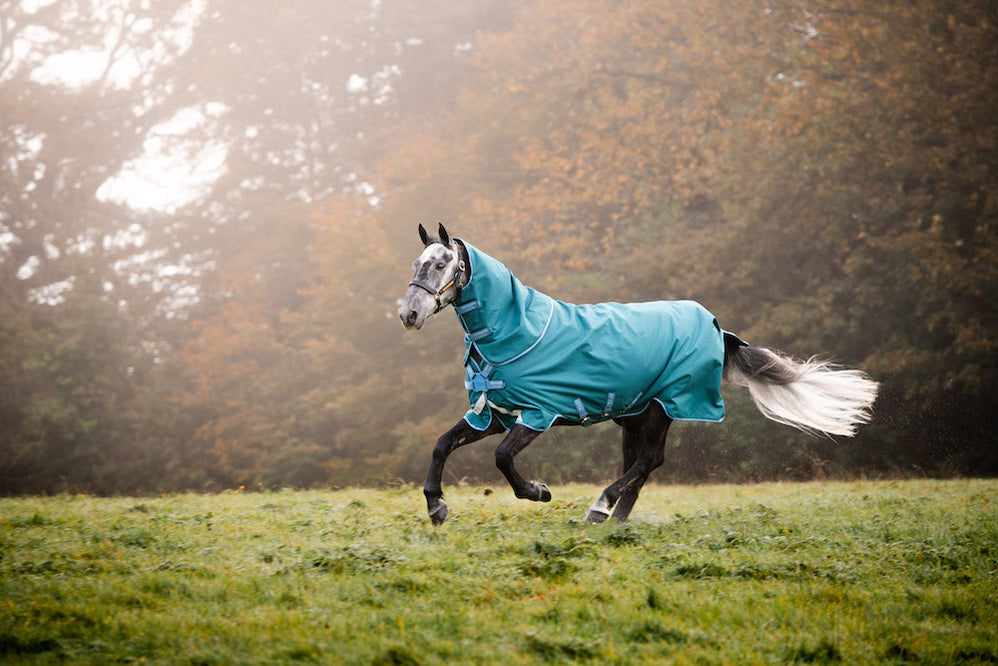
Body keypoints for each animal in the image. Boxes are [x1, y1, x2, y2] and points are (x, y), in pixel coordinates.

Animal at [399, 223, 879, 525]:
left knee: (649, 461)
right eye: (414, 264)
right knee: (640, 466)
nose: (409, 314)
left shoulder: (538, 413)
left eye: (441, 264)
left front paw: (539, 491)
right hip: (637, 414)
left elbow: (502, 458)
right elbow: (442, 444)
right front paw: (436, 508)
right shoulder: (493, 413)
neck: (516, 331)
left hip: (666, 406)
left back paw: (599, 508)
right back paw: (616, 521)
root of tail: (717, 327)